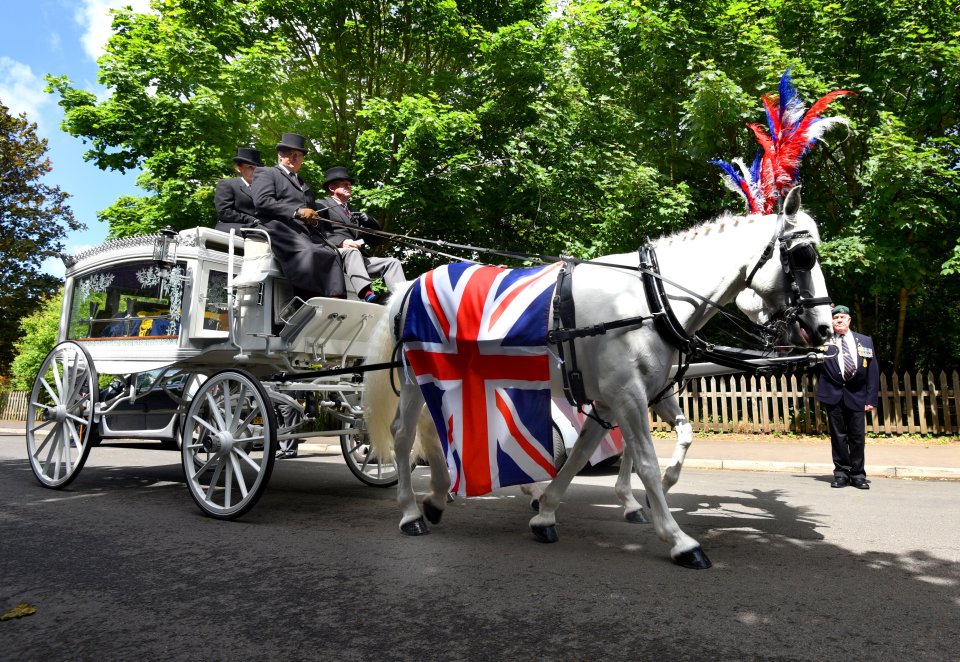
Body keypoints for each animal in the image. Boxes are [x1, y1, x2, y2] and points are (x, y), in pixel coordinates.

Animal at [362, 188, 832, 572]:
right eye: (804, 256)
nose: (826, 329)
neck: (649, 298)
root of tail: (410, 286)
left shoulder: (623, 397)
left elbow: (591, 452)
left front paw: (548, 512)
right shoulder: (626, 395)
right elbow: (644, 460)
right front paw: (678, 538)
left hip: (446, 379)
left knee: (433, 432)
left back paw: (441, 497)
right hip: (414, 378)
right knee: (403, 435)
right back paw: (411, 512)